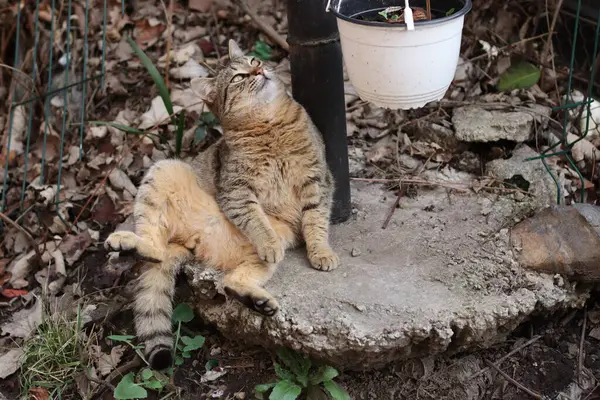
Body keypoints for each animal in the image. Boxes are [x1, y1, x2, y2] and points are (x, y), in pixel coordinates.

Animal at [105, 39, 340, 368]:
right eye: (238, 78)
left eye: (254, 60)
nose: (259, 69)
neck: (269, 123)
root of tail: (192, 242)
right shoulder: (237, 191)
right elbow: (256, 220)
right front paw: (277, 242)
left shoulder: (316, 181)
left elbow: (316, 221)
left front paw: (321, 252)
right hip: (162, 172)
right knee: (157, 248)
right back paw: (129, 243)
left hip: (267, 246)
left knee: (228, 282)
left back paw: (258, 301)